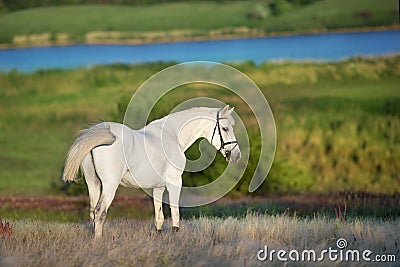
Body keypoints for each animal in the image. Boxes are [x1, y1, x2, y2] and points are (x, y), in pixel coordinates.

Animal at [62, 105, 241, 238]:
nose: (236, 155)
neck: (172, 135)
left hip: (93, 184)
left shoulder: (158, 187)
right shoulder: (175, 183)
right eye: (225, 128)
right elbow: (175, 215)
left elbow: (159, 217)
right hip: (109, 185)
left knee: (93, 212)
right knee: (100, 213)